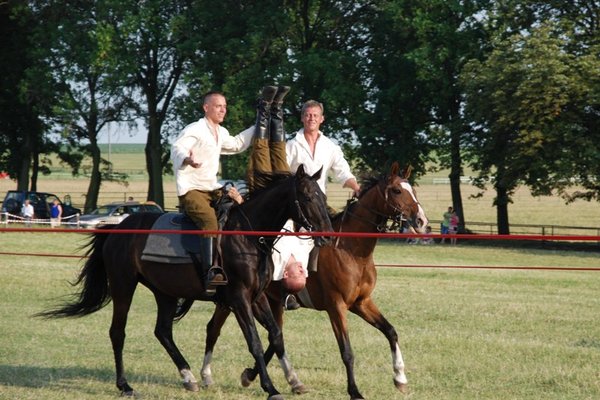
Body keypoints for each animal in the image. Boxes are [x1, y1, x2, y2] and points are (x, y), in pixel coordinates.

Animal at [37, 165, 332, 400]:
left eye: (323, 196)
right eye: (308, 197)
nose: (328, 235)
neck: (247, 237)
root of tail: (117, 227)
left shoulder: (257, 297)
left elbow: (276, 335)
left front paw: (280, 379)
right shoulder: (239, 299)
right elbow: (255, 341)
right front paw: (270, 387)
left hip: (165, 293)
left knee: (163, 331)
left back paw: (188, 376)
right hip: (123, 287)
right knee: (118, 332)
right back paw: (125, 385)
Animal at [198, 162, 426, 400]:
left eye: (412, 190)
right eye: (397, 191)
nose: (421, 221)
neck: (350, 250)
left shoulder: (361, 303)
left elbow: (390, 331)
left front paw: (400, 378)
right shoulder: (336, 307)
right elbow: (347, 351)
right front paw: (354, 391)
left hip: (266, 302)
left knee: (267, 335)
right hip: (236, 300)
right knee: (214, 329)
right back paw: (207, 375)